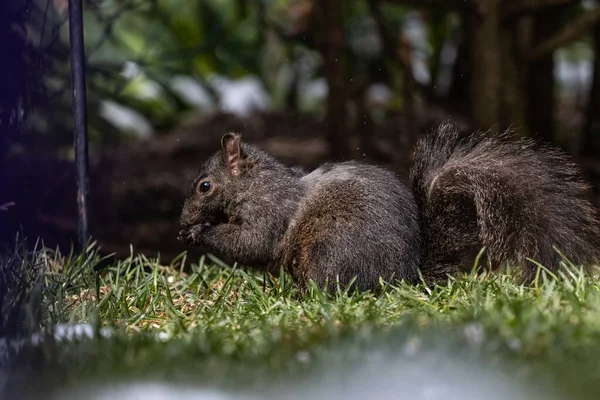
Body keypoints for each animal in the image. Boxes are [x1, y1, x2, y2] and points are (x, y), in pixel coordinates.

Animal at [178, 120, 600, 290]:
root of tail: (408, 275)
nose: (182, 220)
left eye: (204, 186)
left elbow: (253, 243)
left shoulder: (271, 212)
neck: (255, 184)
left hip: (329, 252)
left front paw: (201, 232)